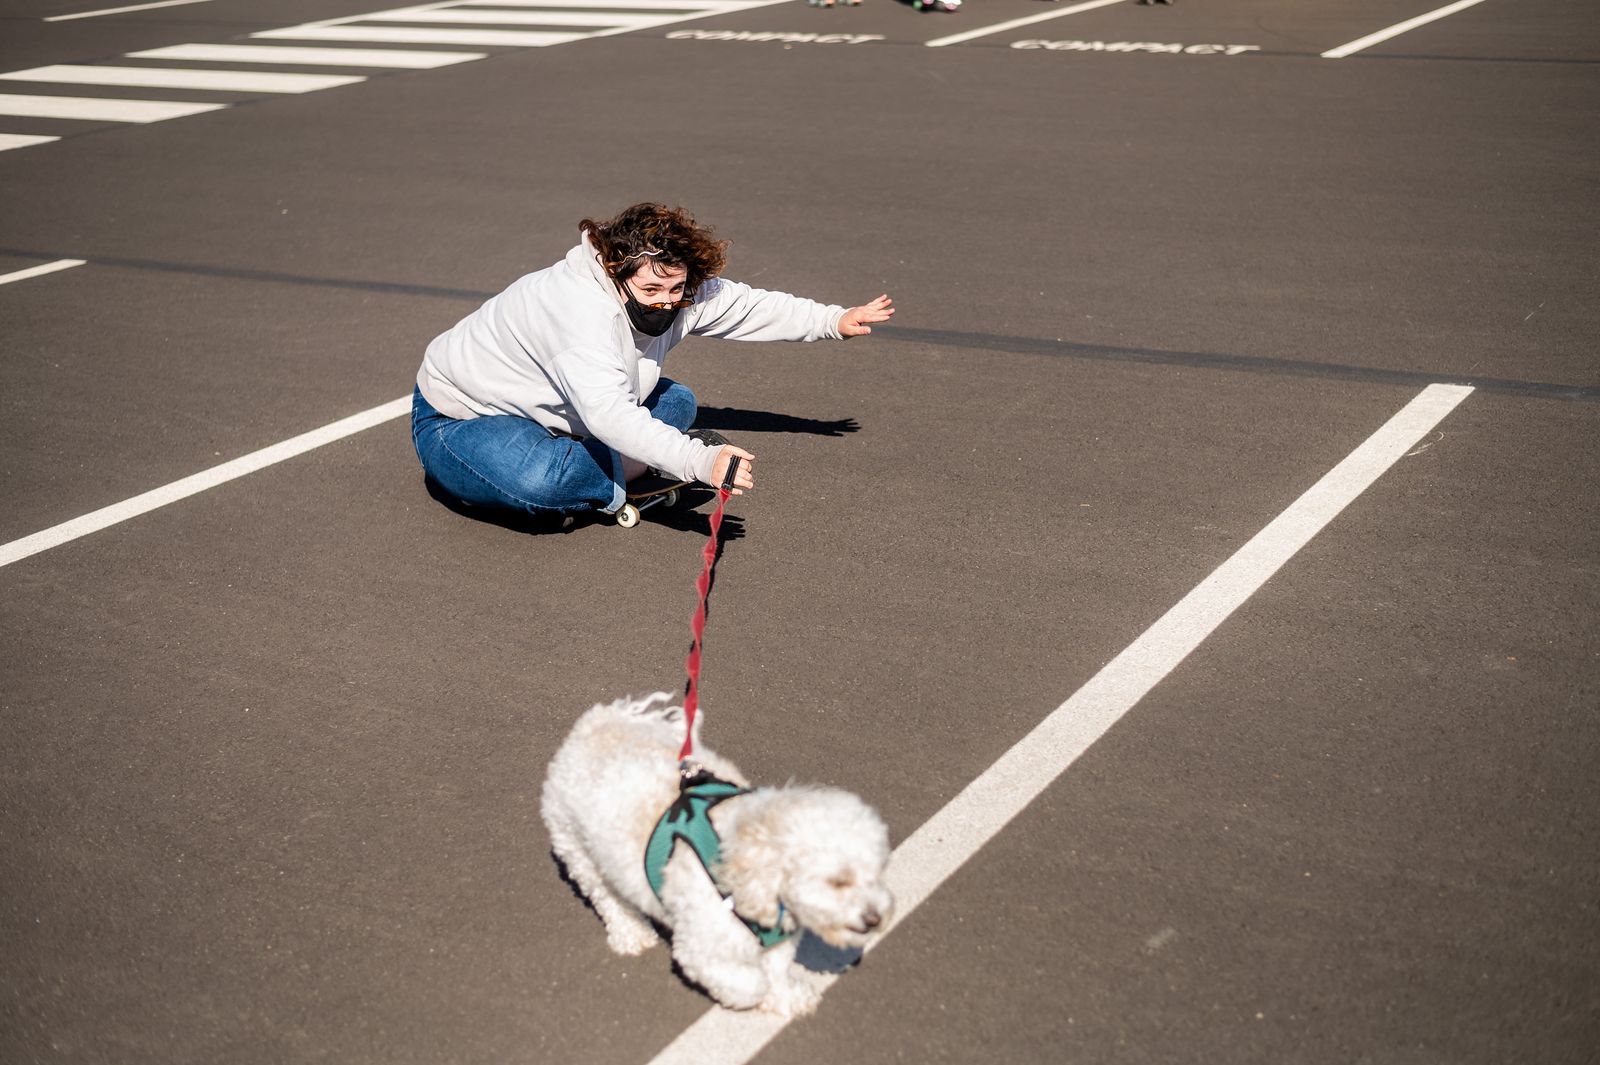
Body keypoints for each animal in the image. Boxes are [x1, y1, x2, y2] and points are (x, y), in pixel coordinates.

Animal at [540, 687, 896, 1010]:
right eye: (838, 881)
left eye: (878, 874)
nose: (875, 918)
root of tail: (597, 721)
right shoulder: (704, 947)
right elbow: (749, 983)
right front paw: (758, 996)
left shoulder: (777, 941)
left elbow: (776, 971)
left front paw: (787, 997)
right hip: (575, 845)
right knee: (607, 896)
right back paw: (631, 933)